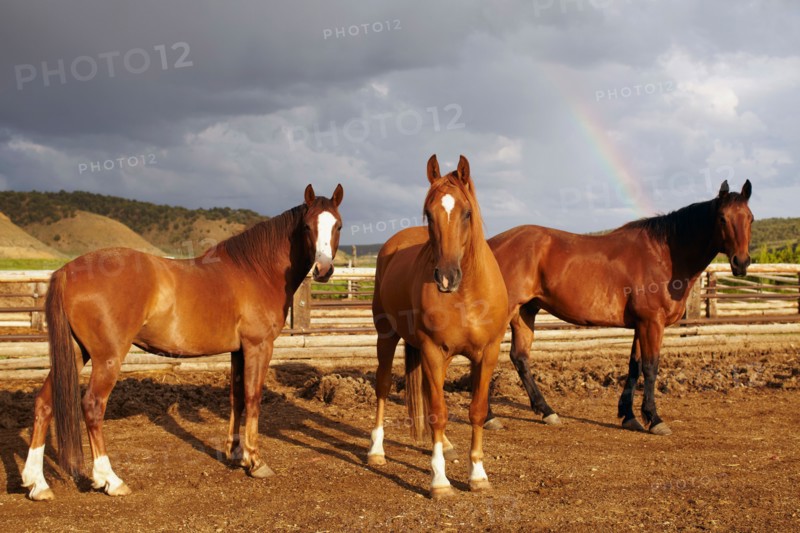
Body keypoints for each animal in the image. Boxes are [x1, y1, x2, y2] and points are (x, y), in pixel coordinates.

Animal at [20, 184, 344, 501]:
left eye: (338, 225)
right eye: (306, 226)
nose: (323, 270)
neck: (256, 271)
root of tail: (67, 271)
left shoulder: (238, 351)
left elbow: (237, 398)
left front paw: (236, 454)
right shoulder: (258, 347)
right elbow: (253, 398)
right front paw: (255, 461)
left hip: (76, 354)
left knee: (44, 403)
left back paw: (37, 483)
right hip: (107, 358)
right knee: (92, 406)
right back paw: (110, 479)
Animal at [366, 155, 509, 499]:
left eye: (467, 213)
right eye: (429, 214)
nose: (446, 277)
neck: (467, 294)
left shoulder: (487, 354)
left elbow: (477, 410)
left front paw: (478, 475)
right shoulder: (432, 350)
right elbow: (438, 413)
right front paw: (440, 481)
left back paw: (446, 445)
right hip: (386, 337)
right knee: (383, 386)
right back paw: (376, 451)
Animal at [485, 180, 753, 435]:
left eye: (750, 217)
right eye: (722, 218)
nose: (741, 262)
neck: (664, 255)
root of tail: (490, 245)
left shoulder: (641, 324)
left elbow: (634, 366)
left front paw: (629, 416)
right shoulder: (652, 323)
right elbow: (651, 367)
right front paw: (655, 419)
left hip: (525, 312)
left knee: (520, 357)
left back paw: (547, 411)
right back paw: (489, 417)